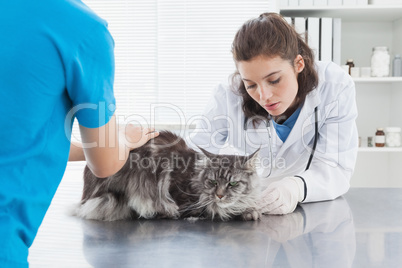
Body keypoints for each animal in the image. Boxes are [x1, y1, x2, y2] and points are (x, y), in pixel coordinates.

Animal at [73, 131, 260, 221]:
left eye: (232, 184)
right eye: (213, 182)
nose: (219, 195)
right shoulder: (184, 202)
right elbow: (216, 209)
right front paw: (246, 212)